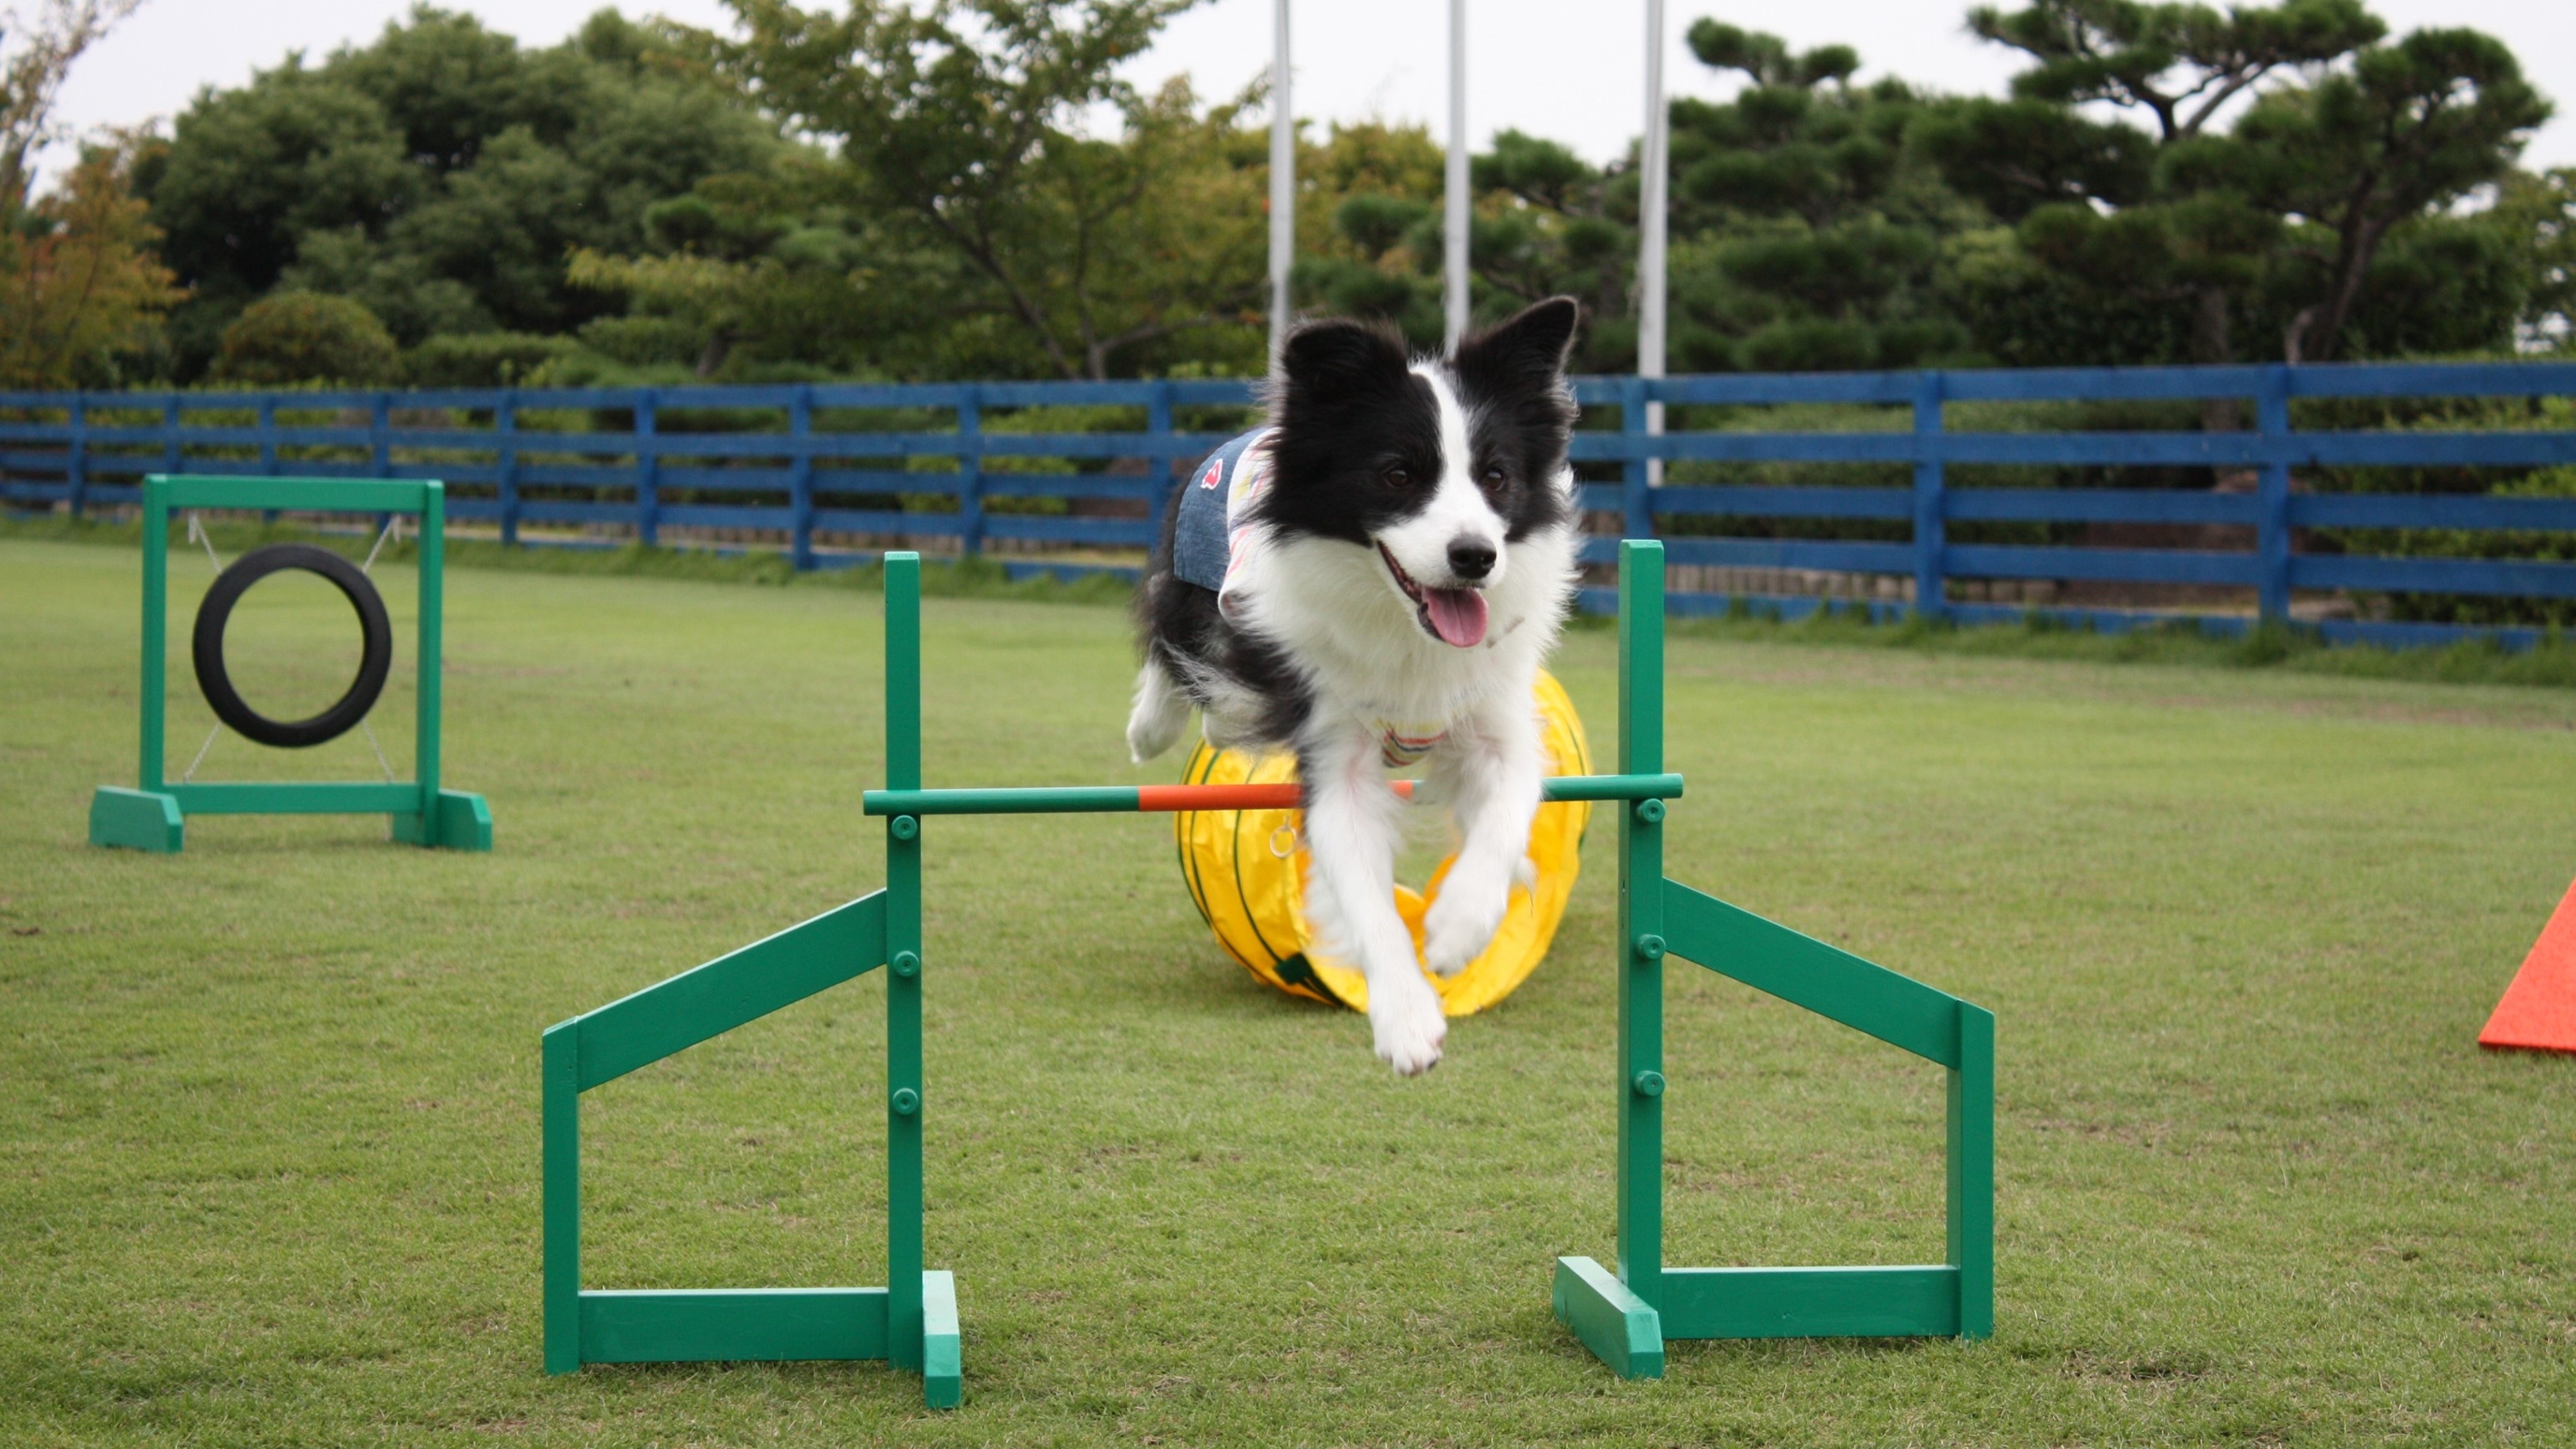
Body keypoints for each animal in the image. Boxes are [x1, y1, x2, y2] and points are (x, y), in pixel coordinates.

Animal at [1133, 296, 1576, 1072]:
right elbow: (1363, 891)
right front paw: (1406, 1019)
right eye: (1398, 474)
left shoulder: (1495, 719)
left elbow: (1508, 807)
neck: (1404, 624)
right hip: (1198, 585)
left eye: (1496, 477)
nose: (1475, 556)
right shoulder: (1333, 744)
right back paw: (1152, 726)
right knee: (1173, 638)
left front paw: (1458, 927)